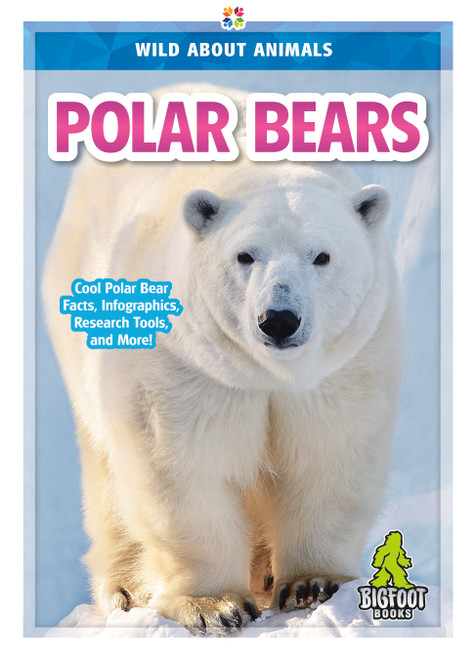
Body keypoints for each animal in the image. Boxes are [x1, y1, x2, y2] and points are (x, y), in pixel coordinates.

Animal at [42, 84, 405, 635]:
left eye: (321, 256)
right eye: (245, 255)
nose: (279, 320)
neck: (267, 373)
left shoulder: (343, 366)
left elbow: (328, 454)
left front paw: (312, 583)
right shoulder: (186, 364)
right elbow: (183, 464)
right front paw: (216, 604)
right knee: (108, 478)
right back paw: (126, 587)